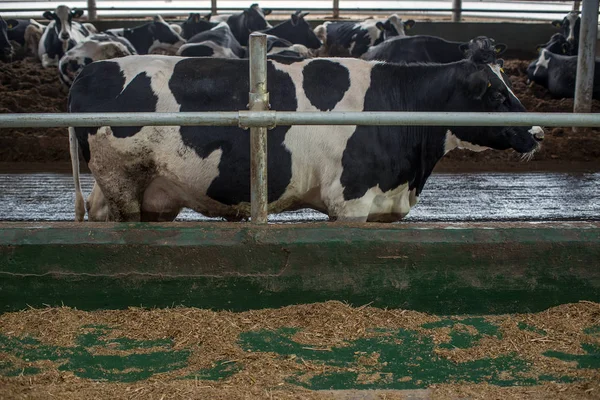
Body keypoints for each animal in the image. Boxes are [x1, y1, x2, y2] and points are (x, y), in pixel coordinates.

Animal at [69, 36, 544, 223]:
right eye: (497, 96)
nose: (538, 133)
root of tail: (90, 71)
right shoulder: (350, 200)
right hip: (122, 181)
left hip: (144, 192)